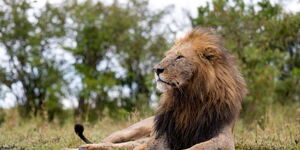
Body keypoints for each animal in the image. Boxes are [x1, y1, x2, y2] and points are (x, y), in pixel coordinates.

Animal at [67, 28, 247, 150]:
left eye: (179, 57)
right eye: (167, 56)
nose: (156, 69)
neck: (189, 97)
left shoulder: (223, 137)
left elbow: (197, 147)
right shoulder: (163, 135)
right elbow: (145, 146)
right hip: (132, 130)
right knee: (110, 141)